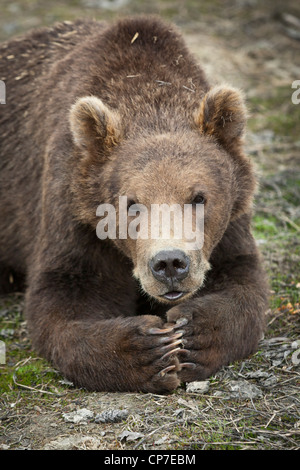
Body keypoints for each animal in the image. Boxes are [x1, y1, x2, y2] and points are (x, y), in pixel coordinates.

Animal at [0, 15, 268, 392]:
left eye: (198, 197)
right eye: (132, 203)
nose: (170, 263)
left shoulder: (230, 222)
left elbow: (243, 282)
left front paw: (191, 335)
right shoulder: (73, 212)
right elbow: (64, 297)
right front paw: (150, 348)